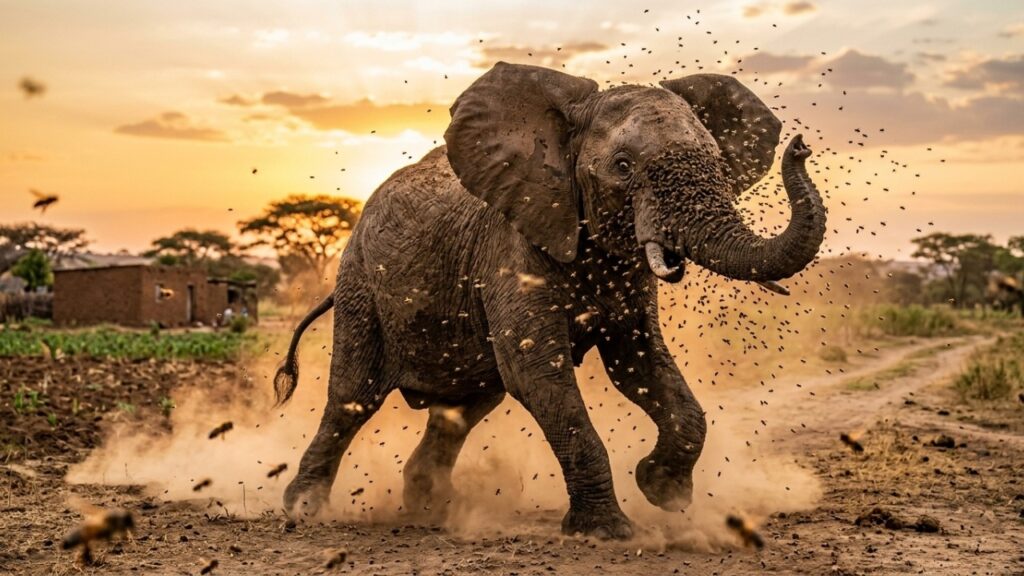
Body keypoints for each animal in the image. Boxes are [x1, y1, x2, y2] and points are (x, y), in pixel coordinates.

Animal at [274, 62, 827, 539]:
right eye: (622, 167)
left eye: (717, 162)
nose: (801, 146)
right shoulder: (510, 246)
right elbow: (538, 372)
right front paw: (608, 532)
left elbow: (641, 366)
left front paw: (661, 490)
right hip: (361, 286)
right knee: (353, 396)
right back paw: (305, 509)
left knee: (463, 408)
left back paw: (432, 510)